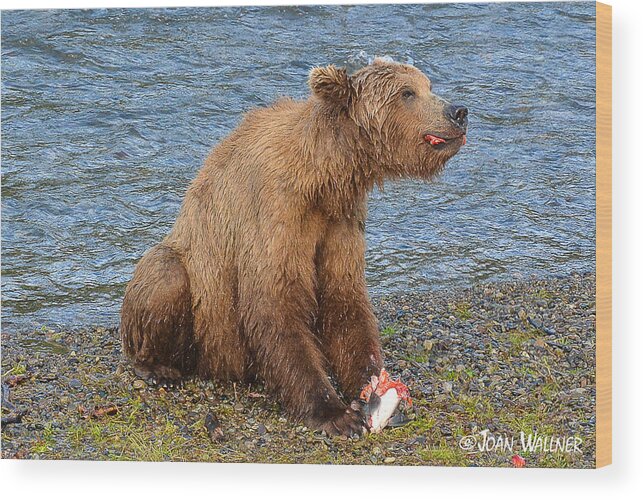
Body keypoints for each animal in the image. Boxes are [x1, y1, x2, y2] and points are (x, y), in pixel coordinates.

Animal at [122, 57, 468, 434]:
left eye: (427, 85)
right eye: (407, 93)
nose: (459, 111)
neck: (323, 175)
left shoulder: (341, 219)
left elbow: (344, 298)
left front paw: (373, 386)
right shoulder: (276, 210)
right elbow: (274, 302)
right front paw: (335, 413)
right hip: (198, 303)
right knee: (165, 274)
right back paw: (156, 367)